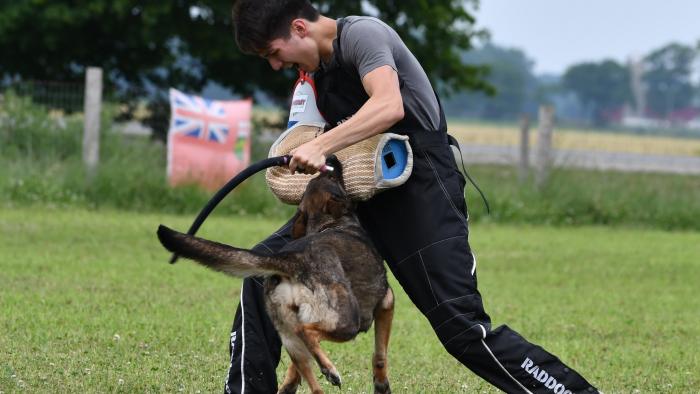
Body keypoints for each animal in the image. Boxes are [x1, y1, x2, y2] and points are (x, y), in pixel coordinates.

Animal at [157, 158, 394, 394]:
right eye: (333, 177)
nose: (331, 159)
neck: (327, 223)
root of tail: (292, 260)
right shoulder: (387, 302)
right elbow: (380, 354)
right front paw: (381, 384)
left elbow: (293, 370)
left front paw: (289, 384)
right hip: (348, 320)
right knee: (306, 332)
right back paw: (330, 369)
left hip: (288, 332)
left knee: (309, 371)